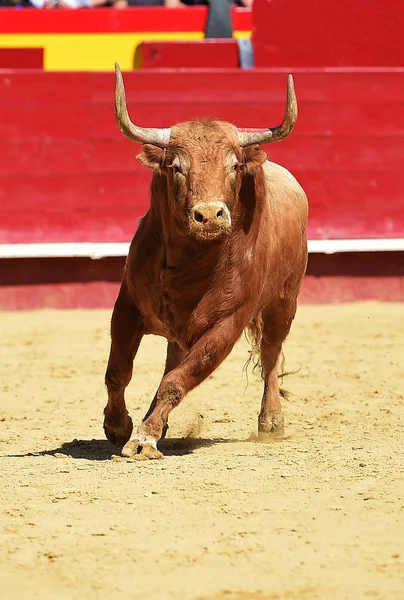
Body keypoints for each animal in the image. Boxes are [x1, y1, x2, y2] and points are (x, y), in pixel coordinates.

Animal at [102, 64, 308, 460]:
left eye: (234, 165)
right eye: (176, 167)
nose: (209, 215)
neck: (190, 263)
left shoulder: (225, 327)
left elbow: (177, 381)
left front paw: (145, 438)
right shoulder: (128, 305)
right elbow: (119, 371)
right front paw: (118, 425)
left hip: (284, 301)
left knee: (270, 355)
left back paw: (271, 422)